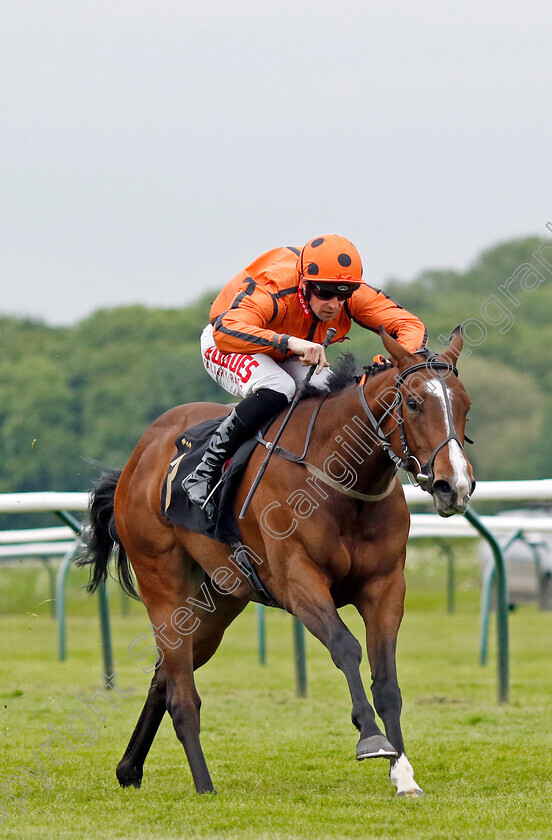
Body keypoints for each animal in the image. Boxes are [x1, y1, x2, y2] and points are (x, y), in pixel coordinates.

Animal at [82, 324, 474, 796]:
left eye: (465, 404)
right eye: (414, 403)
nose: (455, 486)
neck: (339, 479)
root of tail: (138, 457)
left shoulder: (385, 586)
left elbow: (387, 681)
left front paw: (403, 775)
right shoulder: (298, 580)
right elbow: (345, 646)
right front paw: (371, 739)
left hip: (217, 602)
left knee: (165, 677)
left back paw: (129, 769)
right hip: (162, 582)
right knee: (181, 693)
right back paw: (204, 785)